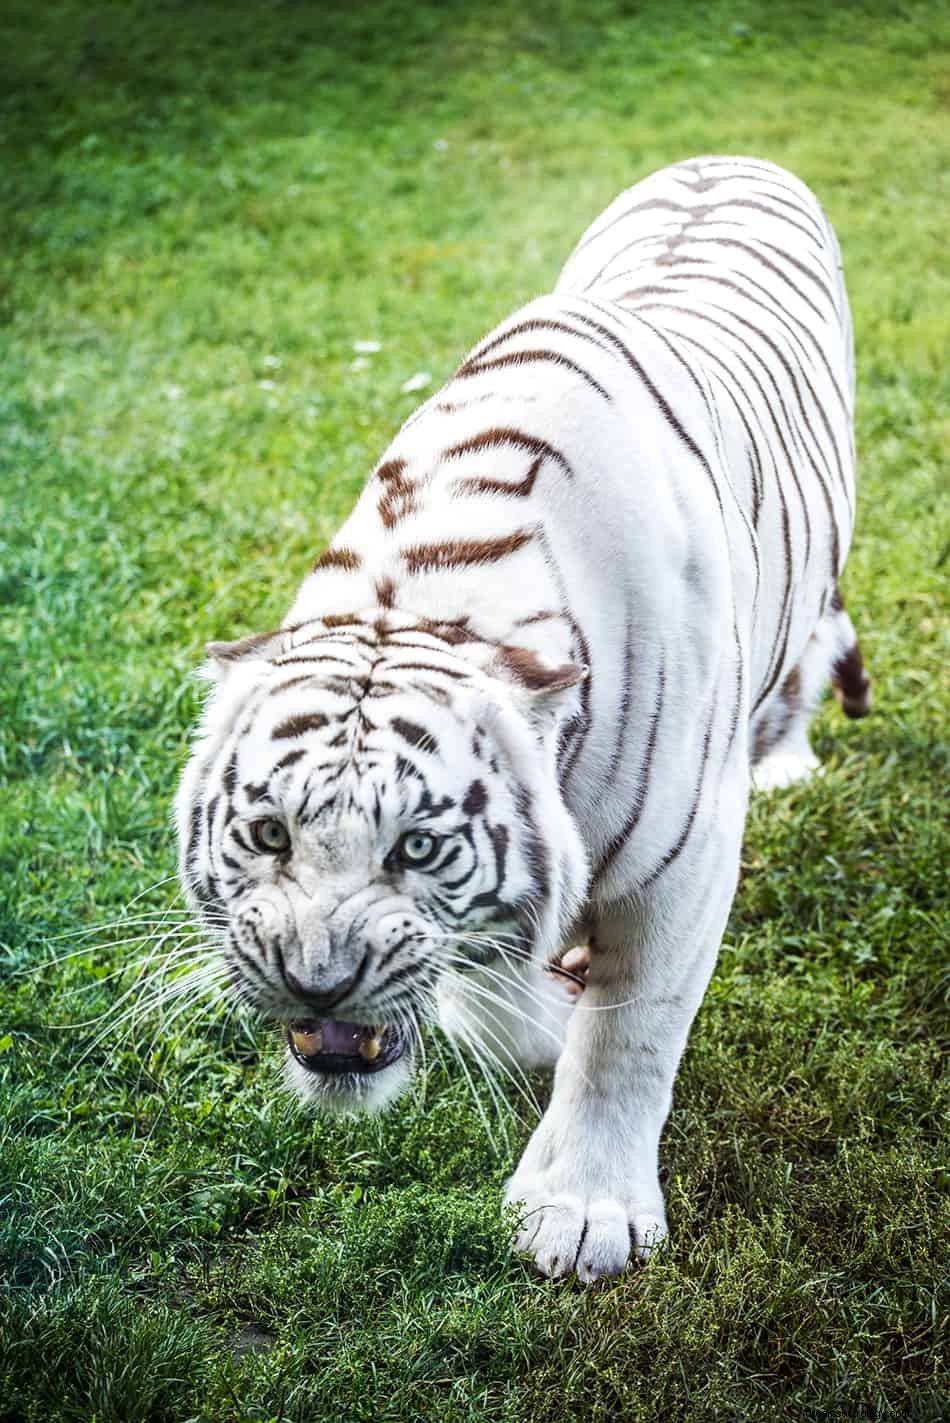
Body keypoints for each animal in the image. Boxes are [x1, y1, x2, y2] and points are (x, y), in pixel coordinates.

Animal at [176, 161, 870, 1286]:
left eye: (417, 846)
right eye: (269, 833)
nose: (317, 987)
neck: (422, 591)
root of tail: (725, 158)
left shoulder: (683, 864)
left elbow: (627, 1038)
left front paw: (582, 1212)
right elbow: (505, 1011)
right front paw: (542, 1009)